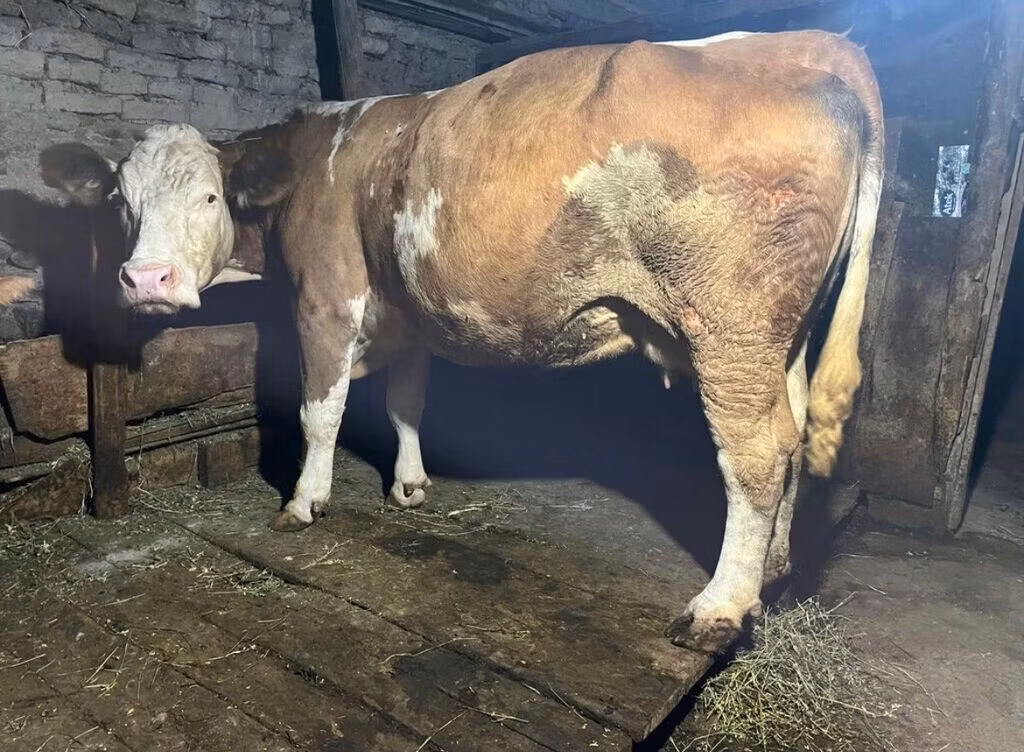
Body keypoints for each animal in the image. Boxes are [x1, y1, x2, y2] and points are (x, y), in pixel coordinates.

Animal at [39, 30, 883, 652]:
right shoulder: (410, 314)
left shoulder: (326, 301)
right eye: (121, 202)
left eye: (211, 196)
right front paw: (410, 485)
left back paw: (721, 606)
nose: (145, 279)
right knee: (792, 432)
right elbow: (408, 403)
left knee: (755, 454)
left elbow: (321, 412)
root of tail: (810, 44)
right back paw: (775, 566)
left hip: (731, 325)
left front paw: (306, 500)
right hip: (781, 337)